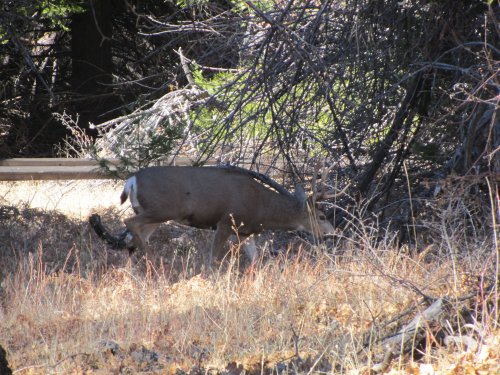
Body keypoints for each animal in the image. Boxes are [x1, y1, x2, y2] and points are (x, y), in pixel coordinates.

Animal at [91, 166, 336, 268]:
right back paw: (154, 261)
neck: (262, 208)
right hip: (161, 210)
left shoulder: (244, 232)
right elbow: (212, 259)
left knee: (133, 235)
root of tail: (131, 180)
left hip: (154, 214)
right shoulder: (226, 221)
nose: (333, 233)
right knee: (129, 223)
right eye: (322, 216)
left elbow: (256, 260)